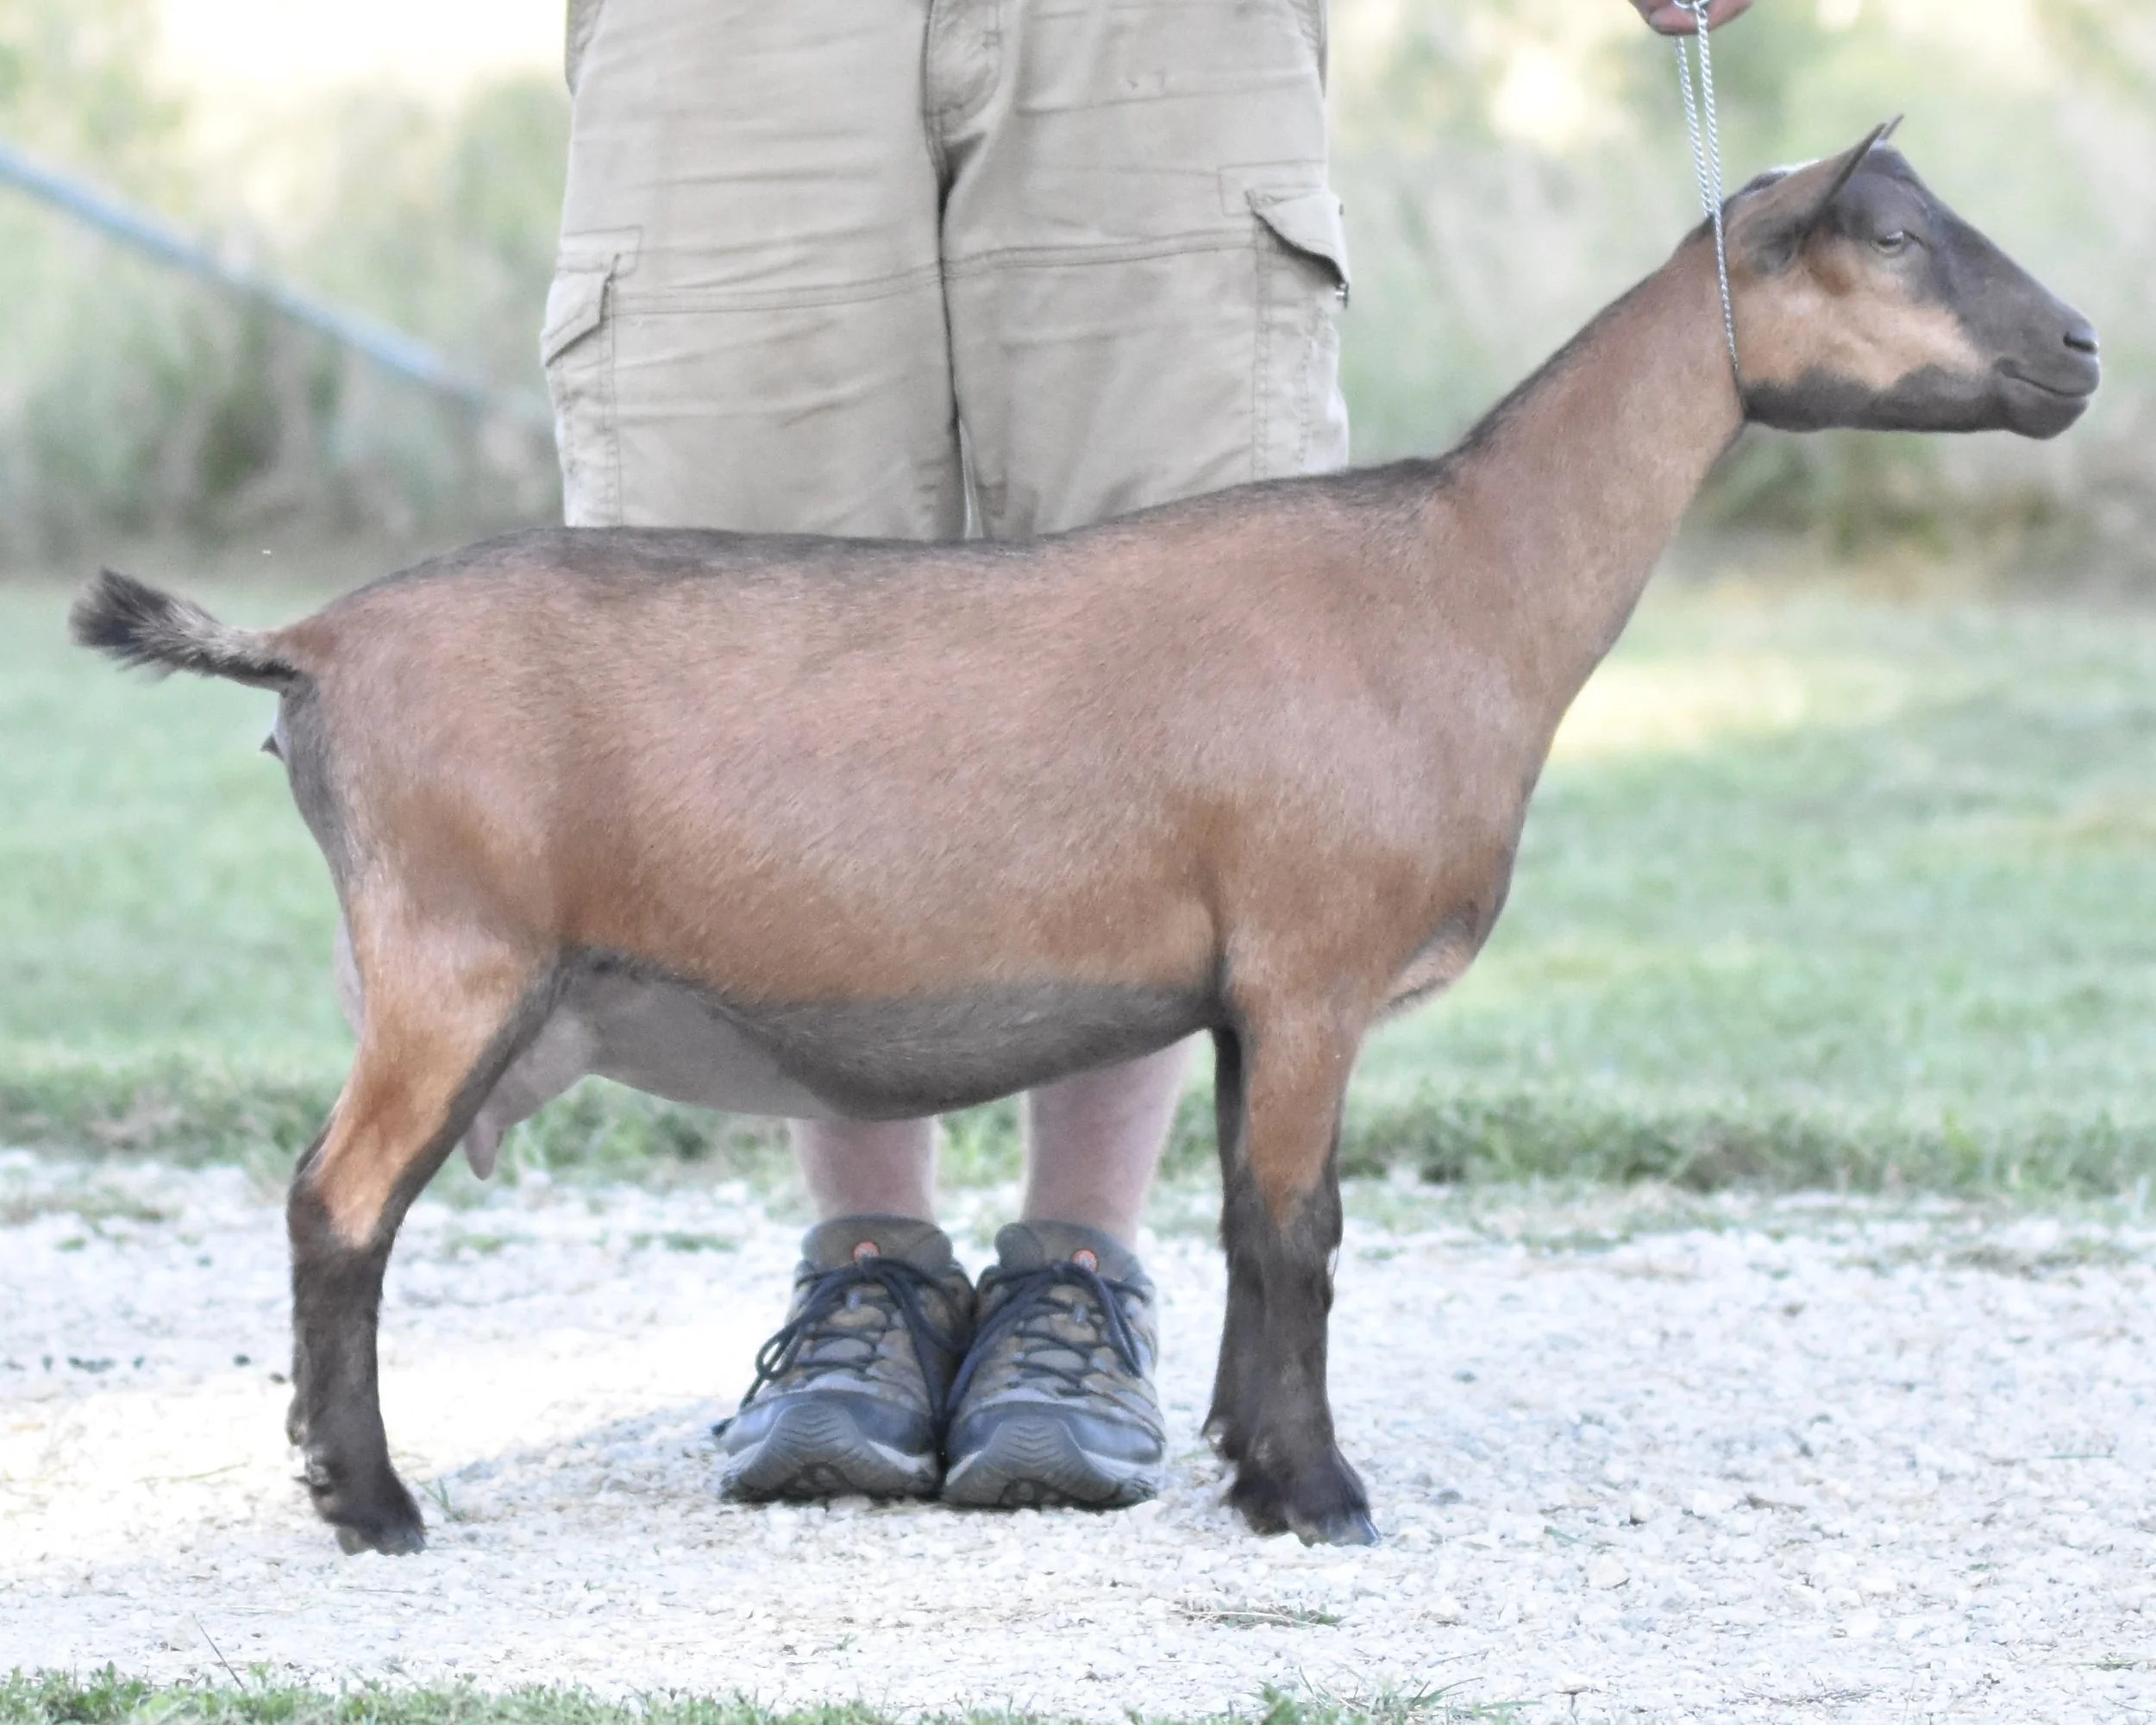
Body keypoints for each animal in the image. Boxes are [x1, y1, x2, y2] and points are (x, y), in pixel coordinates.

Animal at [73, 126, 2097, 1555]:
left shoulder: (1250, 988)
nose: (2078, 346)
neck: (1462, 578)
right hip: (453, 957)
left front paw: (1244, 1460)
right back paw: (372, 1504)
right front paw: (1318, 1496)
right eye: (1893, 236)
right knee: (337, 1205)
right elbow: (1298, 1230)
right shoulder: (1315, 961)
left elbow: (1252, 1220)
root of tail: (315, 645)